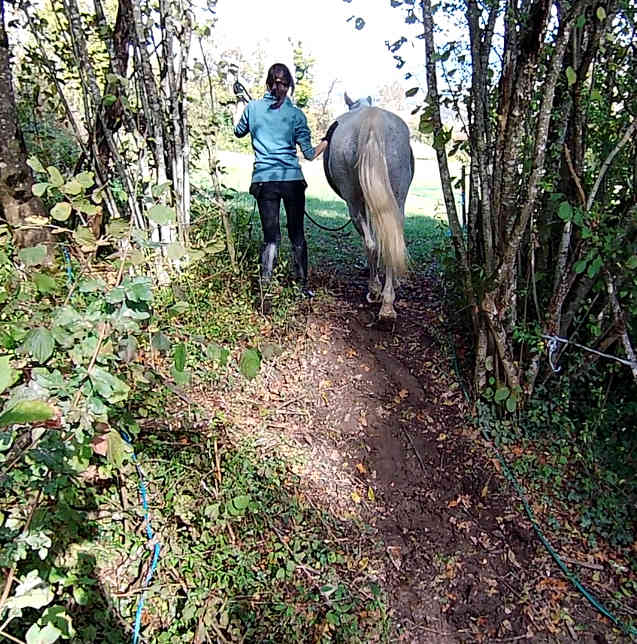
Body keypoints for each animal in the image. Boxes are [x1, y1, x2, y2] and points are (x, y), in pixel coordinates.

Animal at [322, 93, 412, 320]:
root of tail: (373, 119)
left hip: (353, 203)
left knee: (371, 243)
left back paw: (375, 291)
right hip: (397, 199)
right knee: (391, 240)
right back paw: (387, 303)